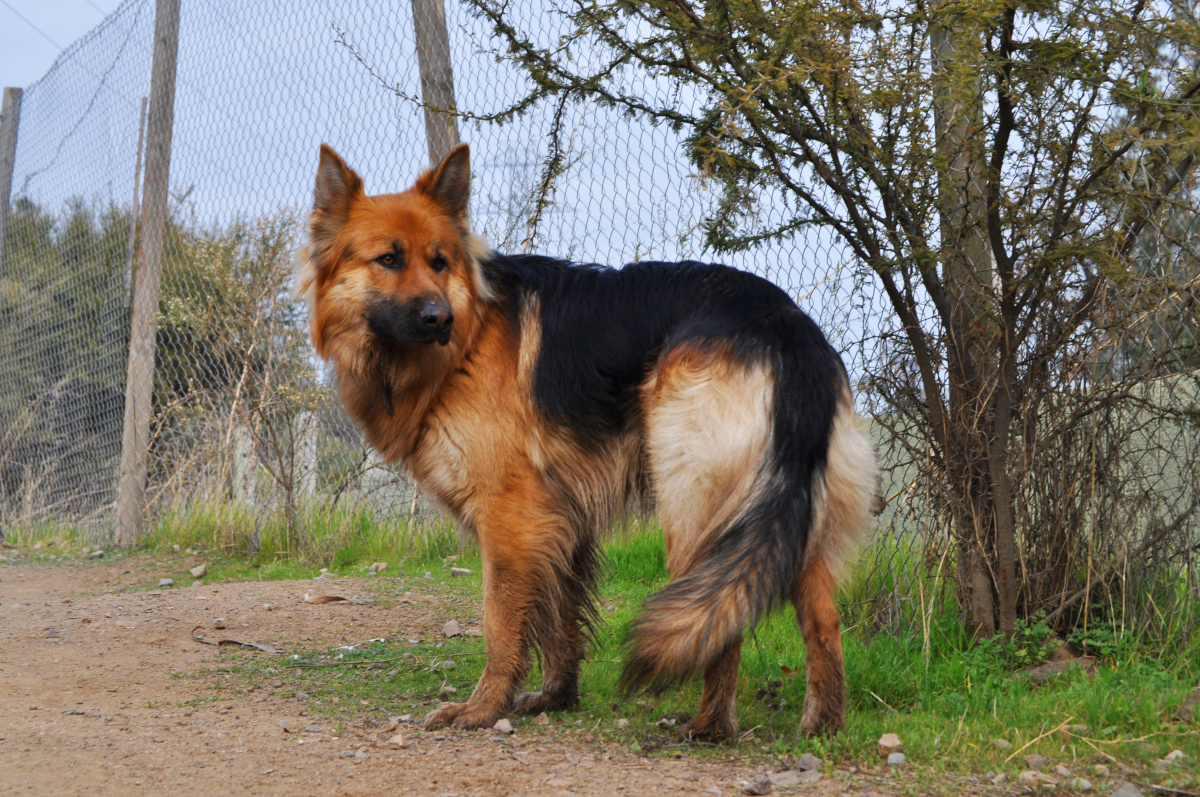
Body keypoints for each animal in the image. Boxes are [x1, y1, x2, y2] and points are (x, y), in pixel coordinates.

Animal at [297, 143, 883, 739]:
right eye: (388, 260)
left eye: (439, 262)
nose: (440, 318)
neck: (469, 338)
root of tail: (785, 326)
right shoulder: (559, 517)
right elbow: (561, 614)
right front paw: (556, 697)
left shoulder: (511, 516)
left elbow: (500, 623)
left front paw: (482, 709)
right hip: (791, 513)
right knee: (821, 618)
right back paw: (822, 725)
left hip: (696, 509)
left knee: (727, 618)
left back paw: (709, 727)